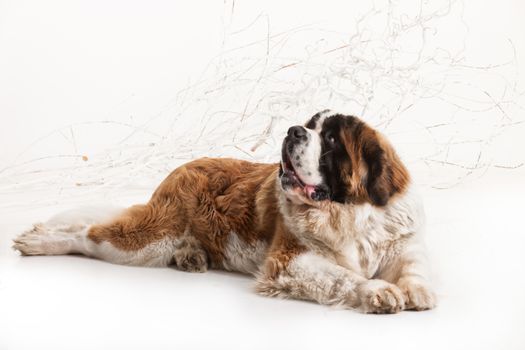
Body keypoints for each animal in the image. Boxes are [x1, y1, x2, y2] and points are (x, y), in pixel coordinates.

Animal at [14, 110, 436, 314]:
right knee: (87, 235)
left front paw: (416, 289)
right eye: (309, 124)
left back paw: (191, 257)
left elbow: (413, 265)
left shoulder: (398, 240)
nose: (293, 130)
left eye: (330, 139)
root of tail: (183, 166)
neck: (347, 213)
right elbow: (341, 276)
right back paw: (38, 241)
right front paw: (378, 291)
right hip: (146, 240)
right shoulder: (289, 261)